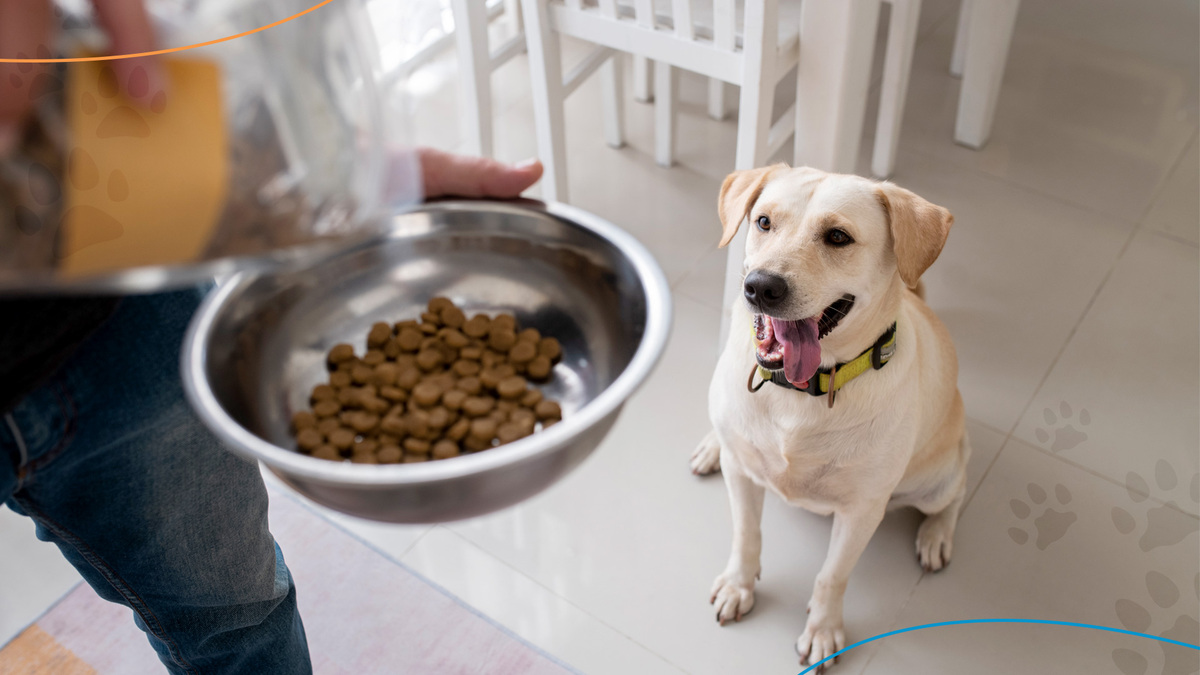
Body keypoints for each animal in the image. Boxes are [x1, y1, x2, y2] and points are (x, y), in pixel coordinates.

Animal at [691, 163, 969, 667]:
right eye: (763, 222)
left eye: (838, 237)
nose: (760, 286)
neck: (800, 393)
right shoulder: (742, 475)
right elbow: (746, 535)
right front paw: (739, 586)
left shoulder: (861, 511)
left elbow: (832, 576)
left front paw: (822, 630)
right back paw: (710, 446)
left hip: (935, 479)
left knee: (954, 494)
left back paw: (937, 535)